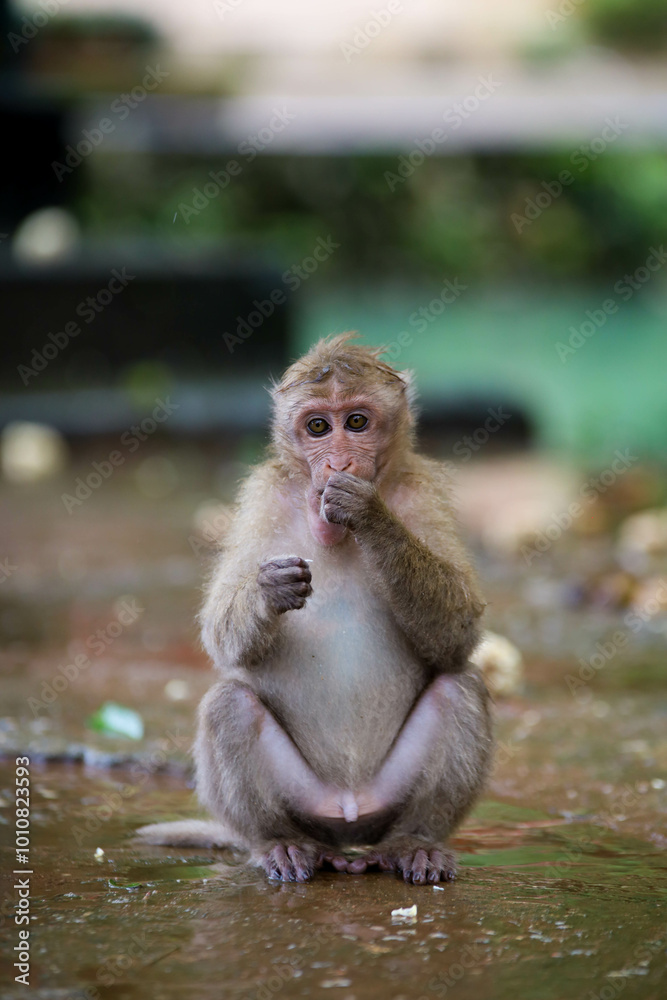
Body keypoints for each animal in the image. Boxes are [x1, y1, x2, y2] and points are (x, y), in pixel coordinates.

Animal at [137, 333, 494, 884]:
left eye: (357, 422)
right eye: (319, 426)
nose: (338, 464)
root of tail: (347, 822)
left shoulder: (423, 489)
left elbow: (460, 631)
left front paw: (368, 512)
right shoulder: (262, 494)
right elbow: (220, 634)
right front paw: (269, 590)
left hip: (385, 800)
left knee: (459, 689)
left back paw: (414, 844)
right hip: (305, 801)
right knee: (229, 705)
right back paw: (280, 844)